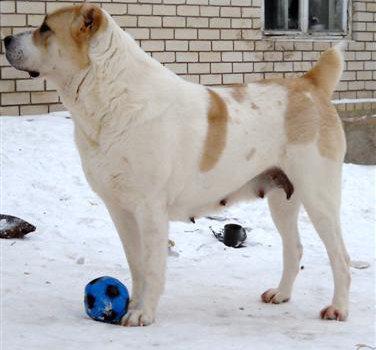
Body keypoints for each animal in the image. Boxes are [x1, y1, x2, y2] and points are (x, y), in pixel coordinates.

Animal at [2, 3, 352, 326]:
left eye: (45, 28)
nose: (5, 38)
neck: (110, 95)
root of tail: (309, 84)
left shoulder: (150, 209)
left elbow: (153, 266)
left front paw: (142, 314)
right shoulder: (121, 210)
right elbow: (137, 264)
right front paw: (133, 305)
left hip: (319, 197)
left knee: (341, 257)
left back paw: (338, 309)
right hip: (283, 200)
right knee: (295, 249)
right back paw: (281, 294)